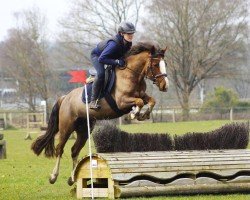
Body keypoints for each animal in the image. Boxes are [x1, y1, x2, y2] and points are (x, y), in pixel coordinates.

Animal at [30, 41, 168, 184]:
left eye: (165, 64)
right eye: (155, 65)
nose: (165, 86)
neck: (131, 75)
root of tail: (65, 97)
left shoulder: (141, 95)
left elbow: (151, 101)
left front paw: (143, 115)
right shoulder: (122, 102)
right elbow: (139, 102)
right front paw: (134, 113)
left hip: (84, 130)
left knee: (74, 150)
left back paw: (72, 178)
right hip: (66, 127)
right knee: (59, 149)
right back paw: (53, 176)